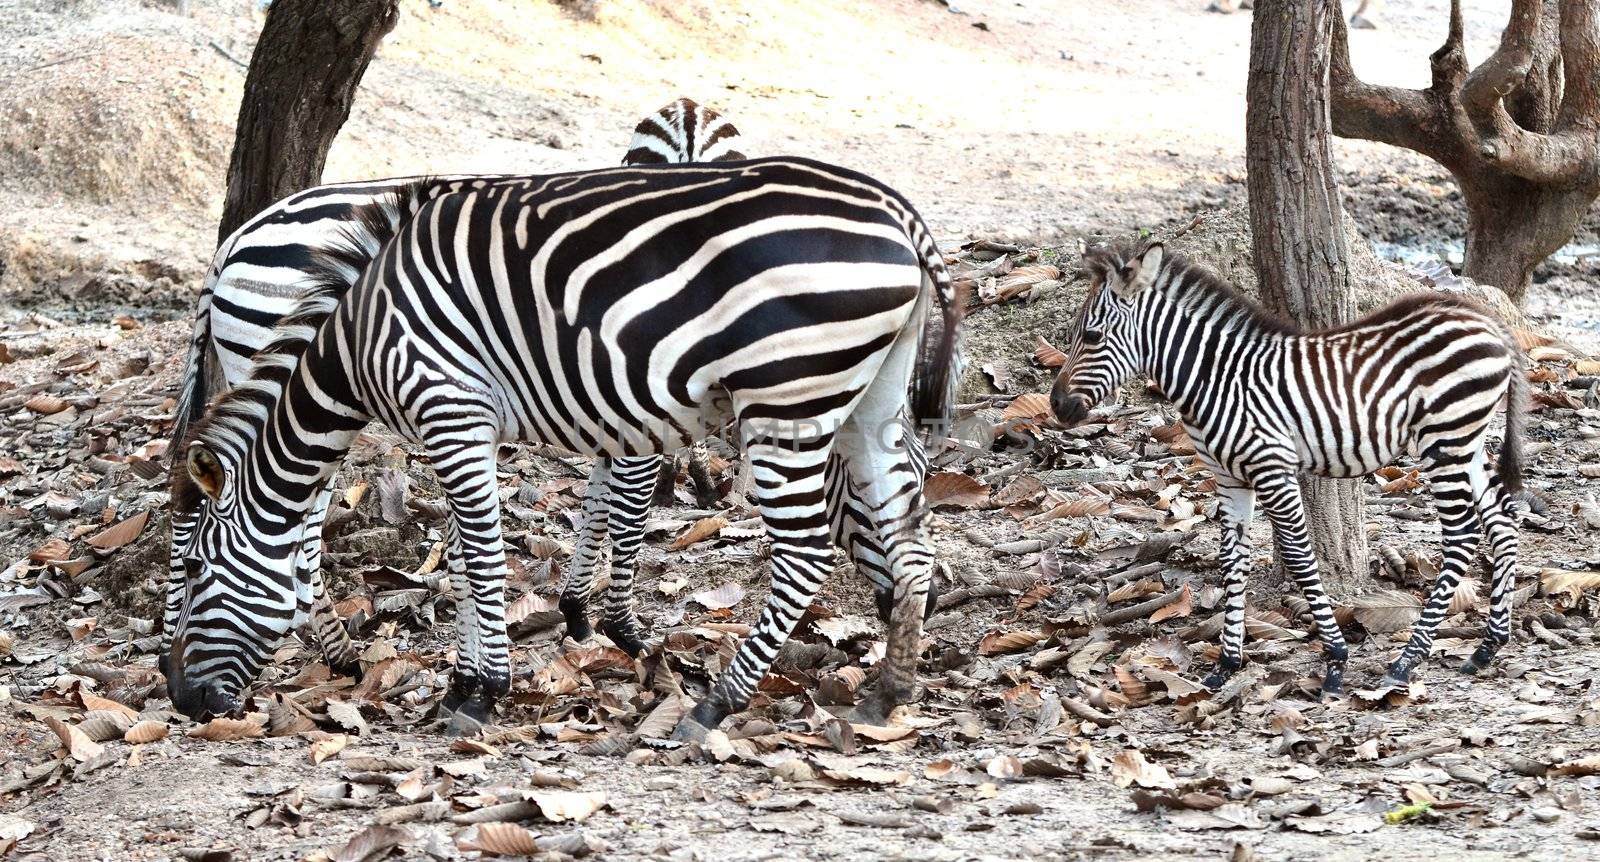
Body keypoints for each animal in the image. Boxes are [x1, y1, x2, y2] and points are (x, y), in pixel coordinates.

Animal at [159, 101, 771, 678]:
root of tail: (235, 239)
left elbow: (596, 496)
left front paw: (571, 610)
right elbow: (625, 506)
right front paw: (618, 624)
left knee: (198, 505)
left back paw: (177, 648)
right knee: (293, 530)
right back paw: (334, 650)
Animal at [168, 156, 953, 742]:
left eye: (207, 570)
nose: (180, 700)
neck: (361, 335)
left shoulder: (456, 408)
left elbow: (496, 553)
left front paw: (485, 691)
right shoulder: (464, 423)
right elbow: (472, 557)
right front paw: (472, 677)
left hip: (788, 391)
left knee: (807, 552)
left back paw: (718, 703)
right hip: (866, 393)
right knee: (904, 533)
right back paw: (890, 690)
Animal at [1049, 239, 1523, 697]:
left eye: (1092, 336)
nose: (1055, 407)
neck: (1217, 380)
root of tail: (1484, 317)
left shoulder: (1273, 468)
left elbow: (1298, 556)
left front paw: (1335, 660)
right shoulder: (1229, 479)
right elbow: (1232, 559)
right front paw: (1227, 664)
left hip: (1443, 441)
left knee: (1462, 535)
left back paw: (1406, 661)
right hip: (1466, 443)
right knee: (1502, 521)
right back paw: (1488, 645)